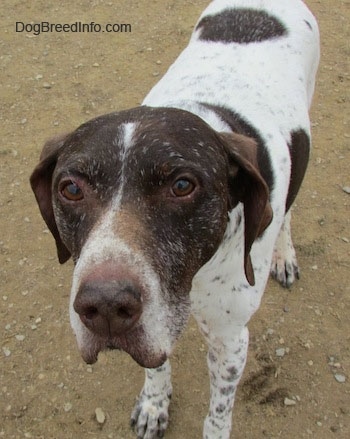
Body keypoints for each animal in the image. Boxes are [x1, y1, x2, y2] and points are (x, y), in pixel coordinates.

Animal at [30, 0, 320, 439]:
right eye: (71, 189)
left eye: (183, 185)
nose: (106, 306)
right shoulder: (159, 329)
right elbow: (157, 365)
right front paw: (154, 404)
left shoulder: (230, 340)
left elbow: (218, 413)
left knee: (286, 210)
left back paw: (284, 255)